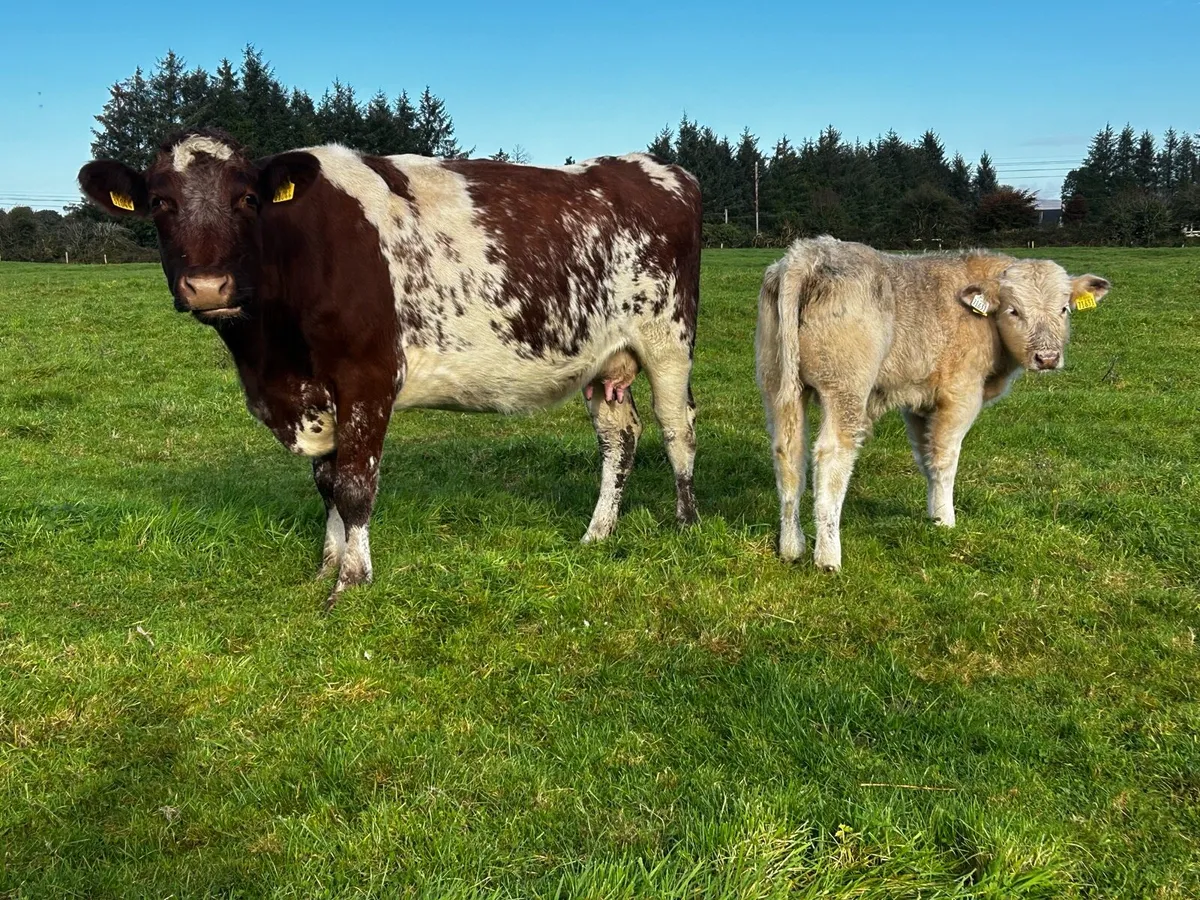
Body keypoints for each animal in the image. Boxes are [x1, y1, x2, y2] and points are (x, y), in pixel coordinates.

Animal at [78, 129, 702, 608]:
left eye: (248, 200)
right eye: (161, 203)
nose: (208, 287)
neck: (271, 360)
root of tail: (653, 166)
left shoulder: (367, 378)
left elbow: (355, 486)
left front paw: (351, 584)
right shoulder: (314, 394)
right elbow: (326, 484)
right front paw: (326, 566)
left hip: (668, 336)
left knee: (678, 428)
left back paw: (686, 523)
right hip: (603, 358)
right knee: (620, 437)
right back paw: (598, 534)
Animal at [755, 235, 1110, 571]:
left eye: (1064, 309)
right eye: (1014, 311)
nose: (1047, 357)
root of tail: (808, 254)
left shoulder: (917, 401)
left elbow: (925, 457)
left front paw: (933, 515)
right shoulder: (960, 396)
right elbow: (944, 459)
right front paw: (945, 521)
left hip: (778, 384)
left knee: (788, 453)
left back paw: (791, 547)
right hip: (845, 389)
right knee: (831, 457)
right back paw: (828, 557)